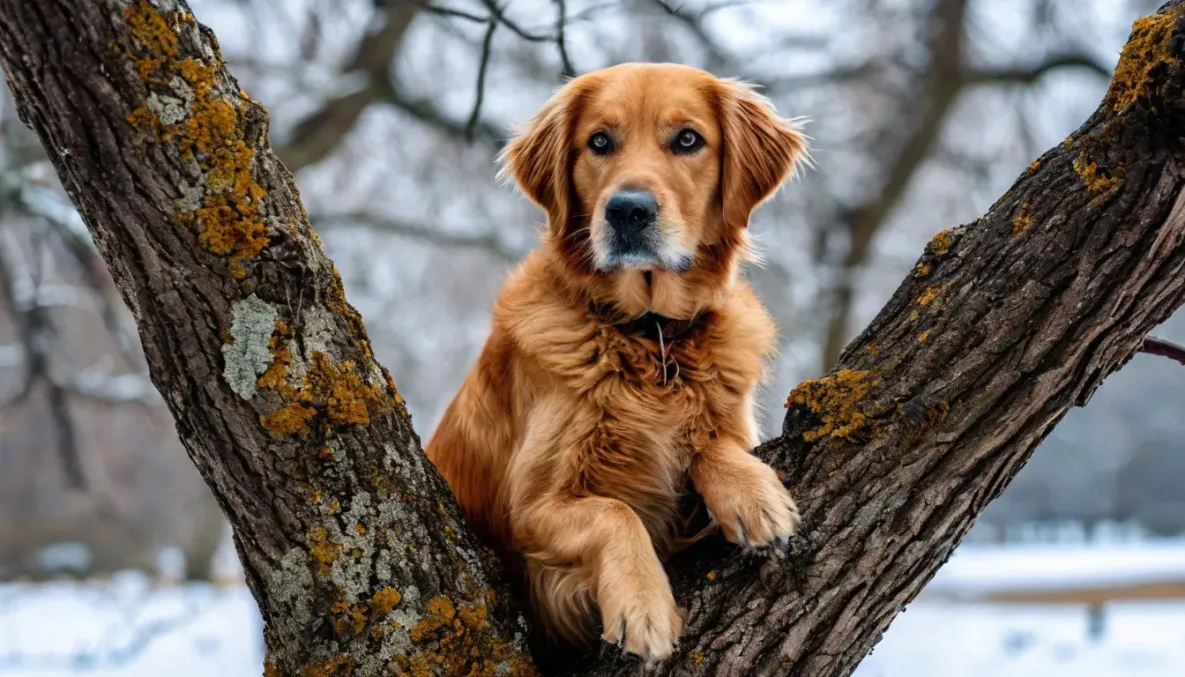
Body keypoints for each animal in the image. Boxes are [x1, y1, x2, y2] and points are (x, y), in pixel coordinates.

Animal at [424, 61, 805, 663]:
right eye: (599, 142)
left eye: (688, 139)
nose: (628, 210)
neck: (651, 336)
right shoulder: (528, 510)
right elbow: (614, 513)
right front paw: (643, 607)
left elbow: (712, 443)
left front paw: (752, 495)